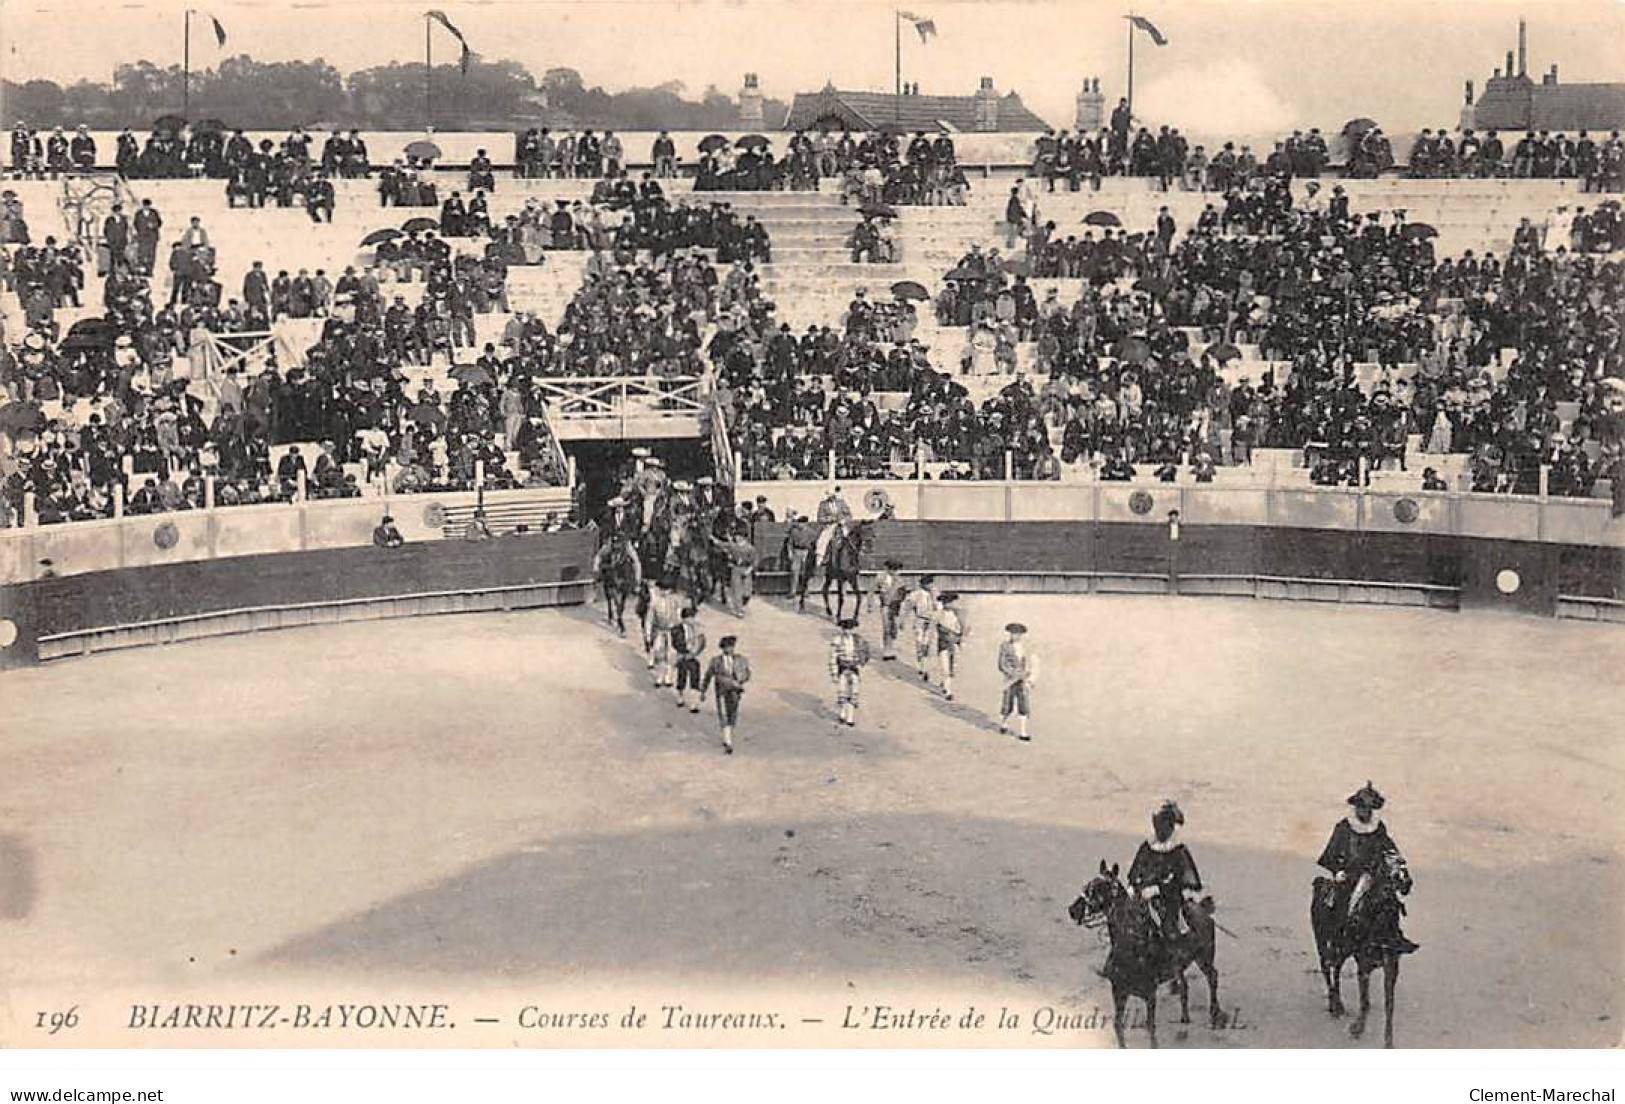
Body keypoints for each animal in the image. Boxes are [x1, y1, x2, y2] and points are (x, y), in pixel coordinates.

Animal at [1066, 858, 1222, 1047]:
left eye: (1097, 890)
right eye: (1086, 887)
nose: (1072, 910)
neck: (1130, 946)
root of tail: (1202, 909)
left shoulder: (1150, 994)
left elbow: (1150, 1029)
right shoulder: (1119, 991)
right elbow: (1118, 1026)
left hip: (1204, 958)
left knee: (1212, 977)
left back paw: (1215, 1015)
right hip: (1180, 966)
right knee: (1184, 986)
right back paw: (1184, 1019)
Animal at [1306, 845, 1410, 1047]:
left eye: (1402, 865)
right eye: (1383, 865)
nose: (1404, 881)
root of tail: (1320, 883)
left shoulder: (1391, 967)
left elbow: (1389, 1005)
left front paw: (1388, 1041)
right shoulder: (1364, 965)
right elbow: (1365, 1001)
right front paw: (1357, 1029)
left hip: (1342, 950)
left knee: (1336, 970)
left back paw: (1338, 1005)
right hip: (1325, 944)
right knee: (1326, 969)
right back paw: (1335, 1006)